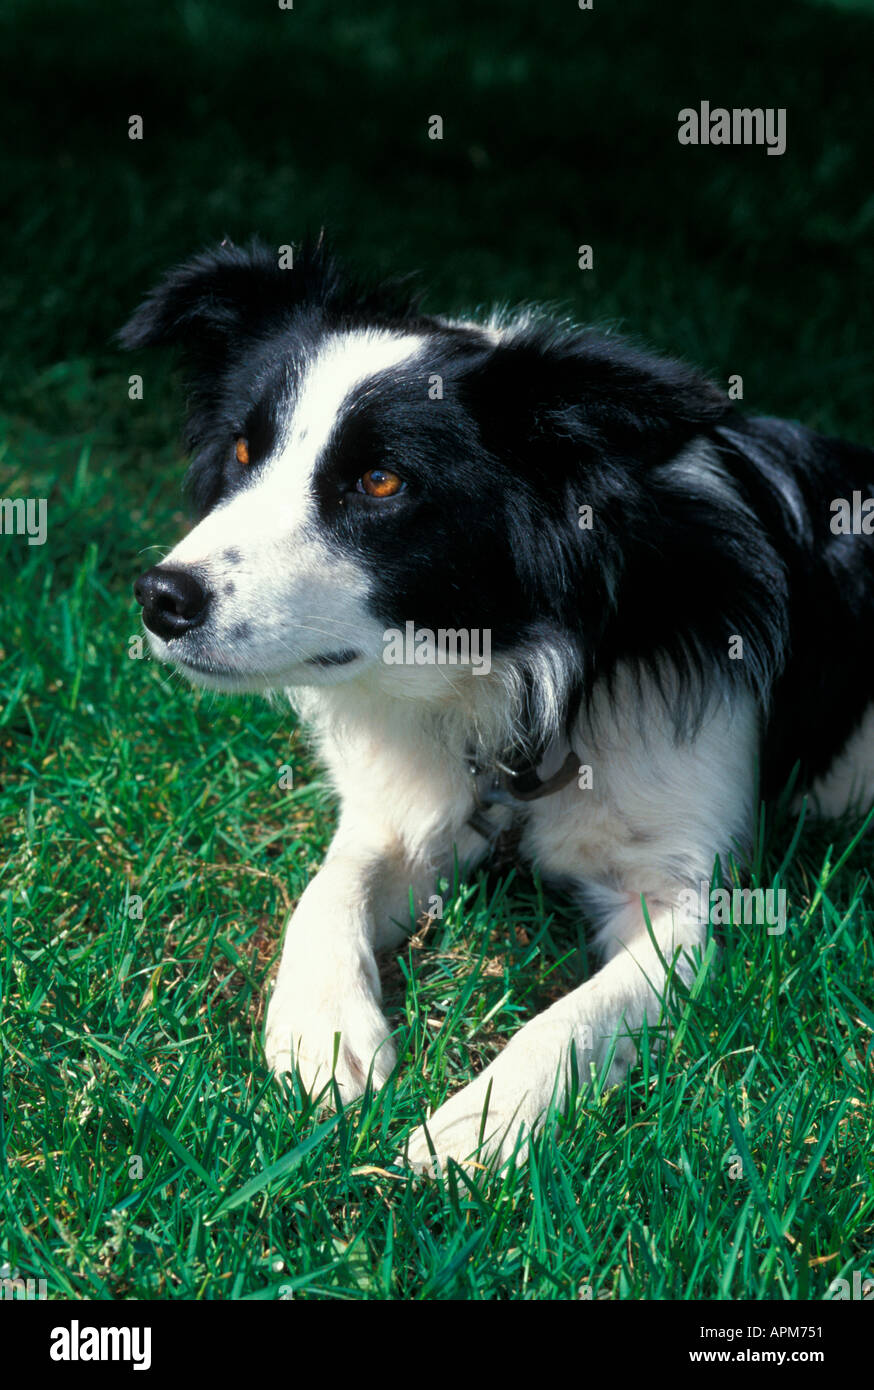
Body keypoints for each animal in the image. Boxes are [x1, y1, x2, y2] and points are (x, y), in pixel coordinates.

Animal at [122, 239, 872, 1173]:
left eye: (380, 481)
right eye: (242, 451)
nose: (162, 598)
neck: (519, 666)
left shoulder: (684, 890)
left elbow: (578, 1015)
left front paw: (478, 1126)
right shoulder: (404, 814)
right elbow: (326, 891)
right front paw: (323, 1037)